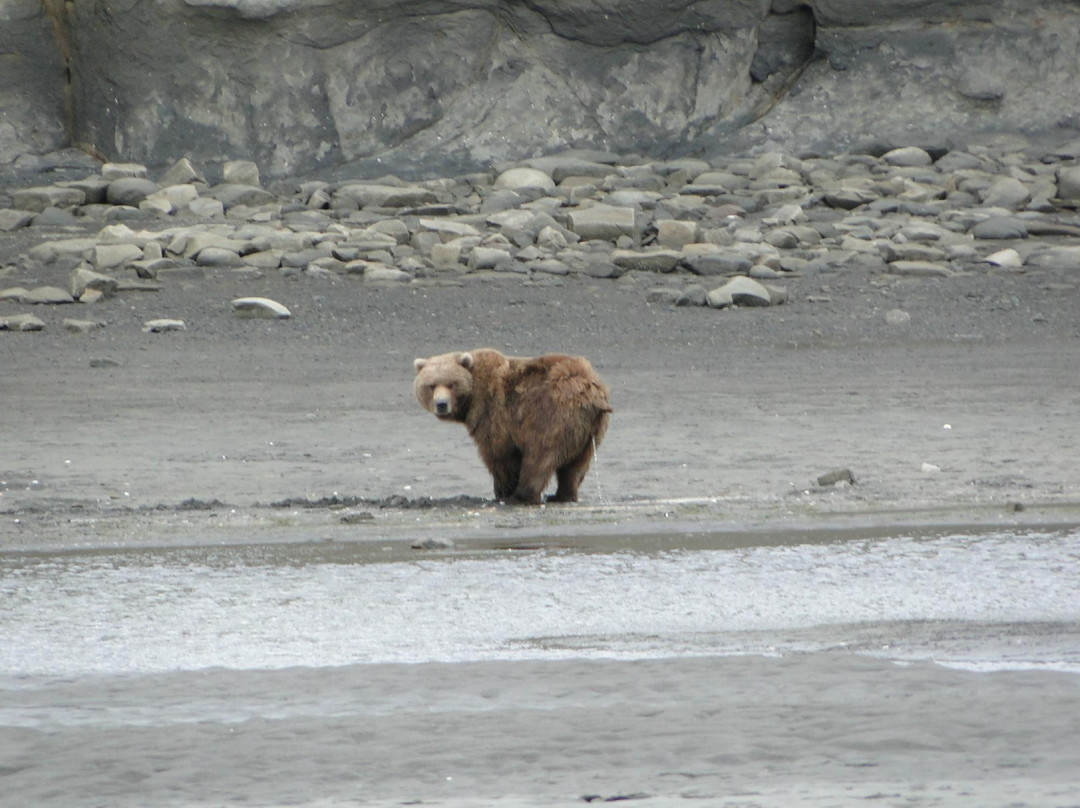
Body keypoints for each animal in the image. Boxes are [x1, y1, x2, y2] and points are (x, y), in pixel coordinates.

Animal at [413, 348, 611, 505]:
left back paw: (521, 496)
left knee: (539, 456)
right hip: (590, 431)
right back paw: (563, 495)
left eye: (451, 384)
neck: (472, 398)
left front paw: (501, 492)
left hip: (551, 415)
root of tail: (592, 394)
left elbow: (500, 455)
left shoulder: (494, 413)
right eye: (431, 385)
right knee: (576, 467)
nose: (441, 404)